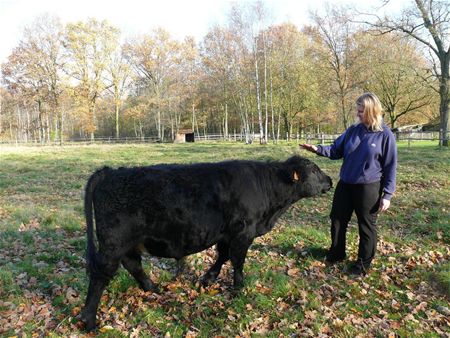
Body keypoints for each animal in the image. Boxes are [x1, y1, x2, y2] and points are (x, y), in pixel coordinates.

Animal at [81, 156, 332, 330]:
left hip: (127, 243)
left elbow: (223, 255)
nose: (330, 180)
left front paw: (208, 279)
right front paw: (239, 288)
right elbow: (237, 261)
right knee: (100, 275)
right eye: (314, 169)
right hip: (113, 242)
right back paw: (89, 320)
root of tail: (109, 172)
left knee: (132, 264)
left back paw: (152, 288)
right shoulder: (243, 232)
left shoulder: (227, 234)